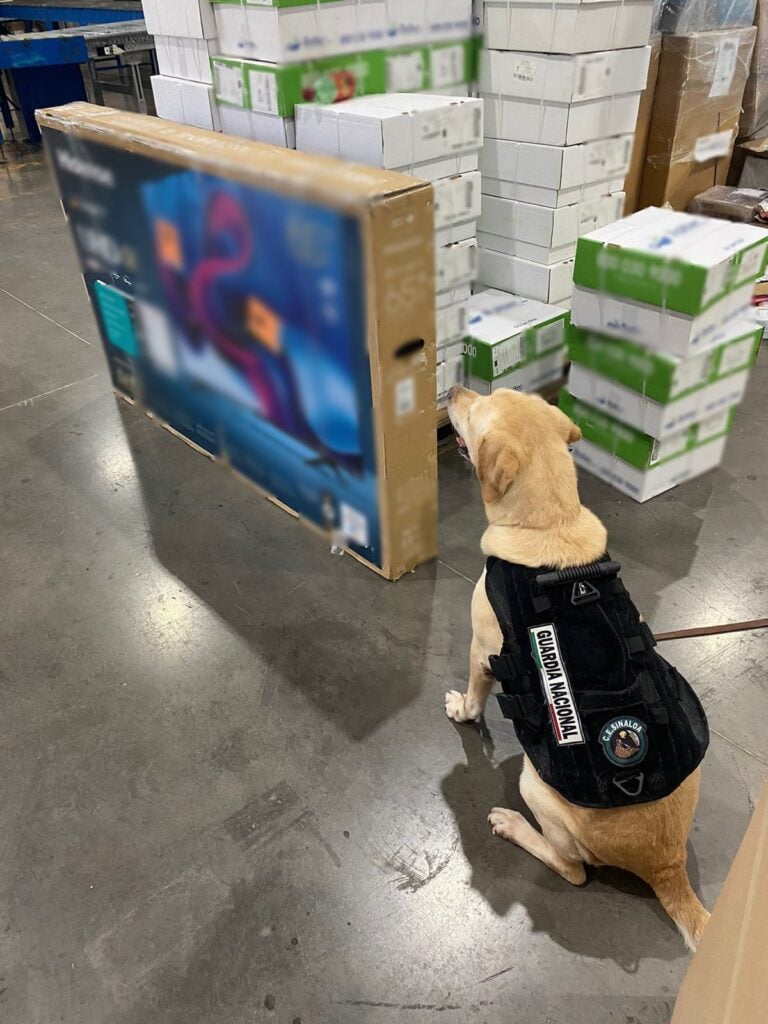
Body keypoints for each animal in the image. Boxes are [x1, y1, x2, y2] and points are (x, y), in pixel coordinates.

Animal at [448, 385, 712, 950]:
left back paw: (514, 827)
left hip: (536, 787)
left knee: (572, 869)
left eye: (476, 411)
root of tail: (667, 864)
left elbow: (475, 695)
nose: (455, 389)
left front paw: (461, 710)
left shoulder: (483, 650)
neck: (552, 523)